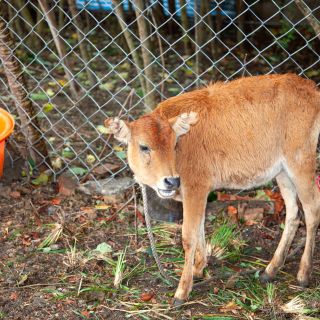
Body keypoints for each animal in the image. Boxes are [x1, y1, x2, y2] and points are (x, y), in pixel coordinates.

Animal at [105, 74, 320, 304]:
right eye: (144, 146)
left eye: (173, 144)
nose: (170, 181)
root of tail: (311, 88)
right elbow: (199, 228)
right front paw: (199, 270)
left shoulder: (195, 187)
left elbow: (188, 235)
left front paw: (182, 290)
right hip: (282, 171)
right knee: (293, 213)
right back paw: (270, 270)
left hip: (301, 161)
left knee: (312, 210)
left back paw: (303, 274)